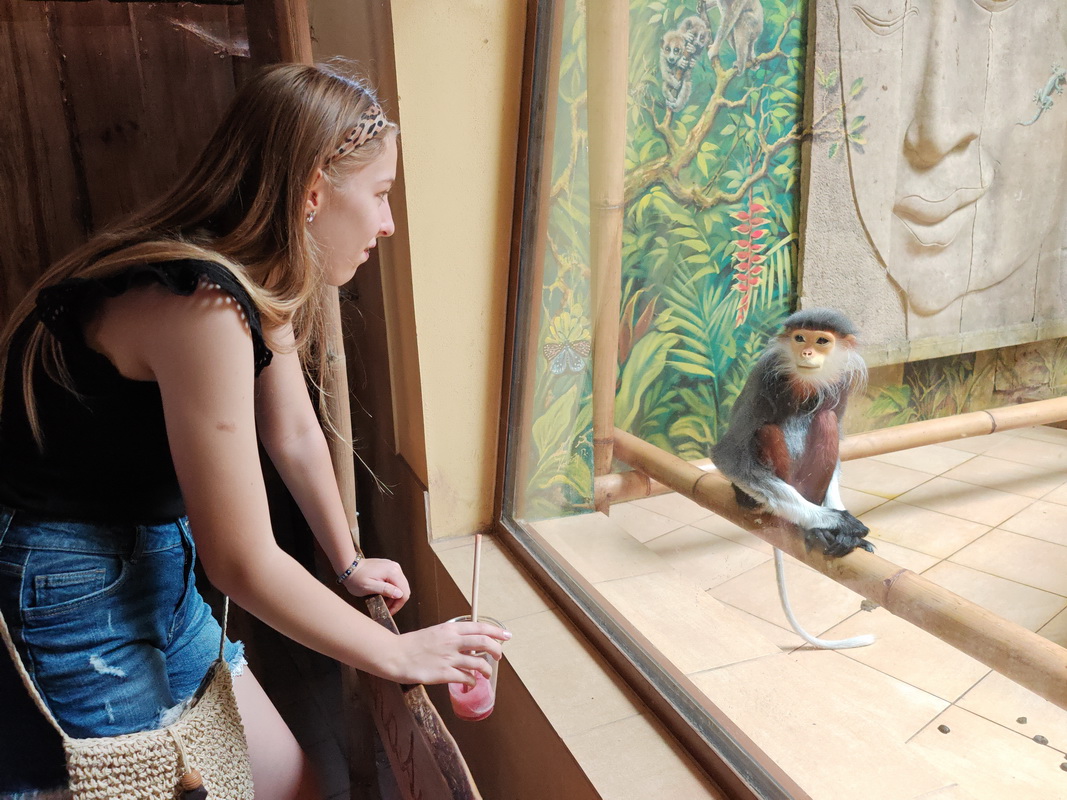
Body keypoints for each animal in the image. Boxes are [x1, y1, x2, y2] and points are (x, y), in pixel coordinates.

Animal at [711, 308, 874, 650]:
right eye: (800, 338)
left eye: (822, 341)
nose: (807, 352)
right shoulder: (763, 373)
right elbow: (727, 455)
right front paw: (832, 521)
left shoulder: (840, 384)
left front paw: (839, 523)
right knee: (767, 431)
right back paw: (808, 524)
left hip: (809, 485)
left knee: (825, 418)